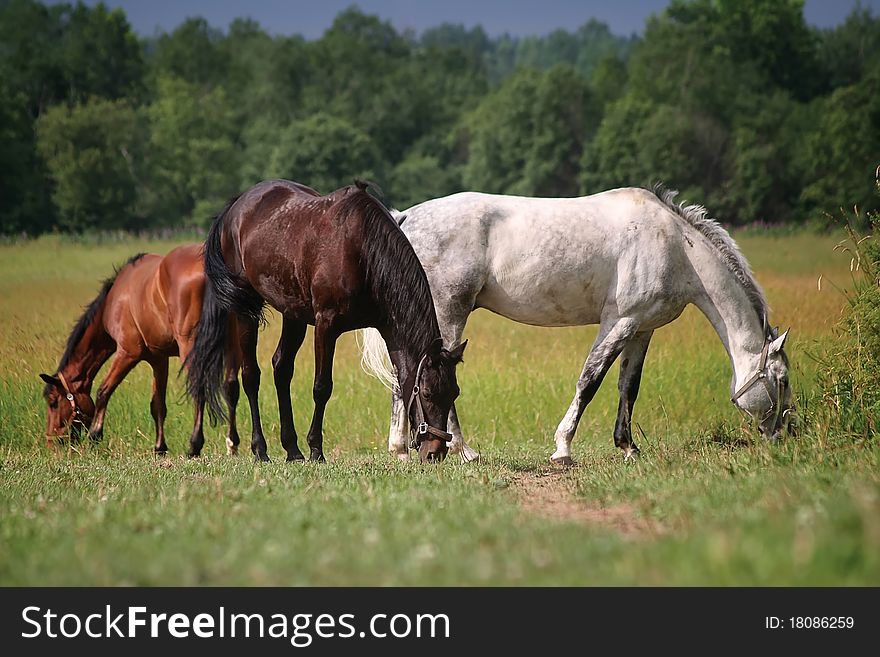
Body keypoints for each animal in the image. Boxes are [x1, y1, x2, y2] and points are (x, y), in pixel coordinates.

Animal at [39, 242, 264, 456]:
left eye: (53, 402)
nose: (51, 442)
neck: (117, 297)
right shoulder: (158, 358)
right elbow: (158, 405)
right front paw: (159, 447)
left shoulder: (127, 353)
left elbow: (104, 390)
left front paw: (95, 434)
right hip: (233, 345)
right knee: (230, 386)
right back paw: (232, 444)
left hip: (191, 348)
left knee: (199, 387)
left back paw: (194, 445)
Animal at [186, 179, 468, 462]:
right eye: (428, 393)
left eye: (454, 392)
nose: (435, 452)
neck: (363, 252)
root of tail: (237, 206)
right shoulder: (325, 326)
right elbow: (322, 387)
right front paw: (316, 449)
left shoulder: (390, 331)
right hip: (247, 310)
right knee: (250, 375)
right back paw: (260, 449)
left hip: (293, 314)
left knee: (281, 368)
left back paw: (292, 449)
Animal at [360, 184, 796, 462]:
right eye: (783, 379)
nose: (788, 433)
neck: (675, 246)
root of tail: (405, 218)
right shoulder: (619, 322)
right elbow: (590, 381)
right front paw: (563, 448)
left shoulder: (642, 329)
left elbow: (628, 387)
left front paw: (628, 447)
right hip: (449, 313)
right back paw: (464, 451)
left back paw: (401, 449)